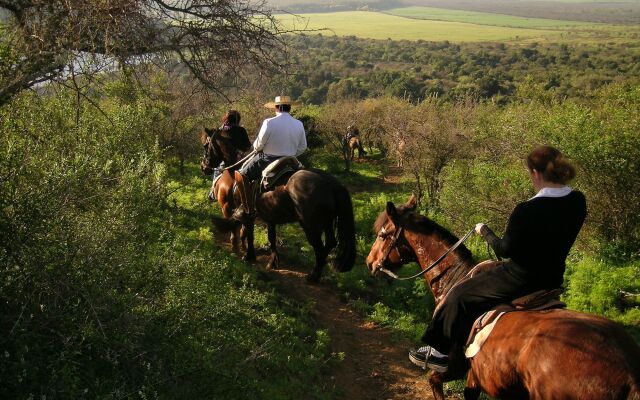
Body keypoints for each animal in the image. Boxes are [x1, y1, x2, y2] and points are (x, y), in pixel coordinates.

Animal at [364, 195, 640, 400]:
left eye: (382, 235)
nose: (369, 262)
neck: (455, 277)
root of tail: (629, 372)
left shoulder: (455, 367)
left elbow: (434, 381)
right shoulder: (474, 376)